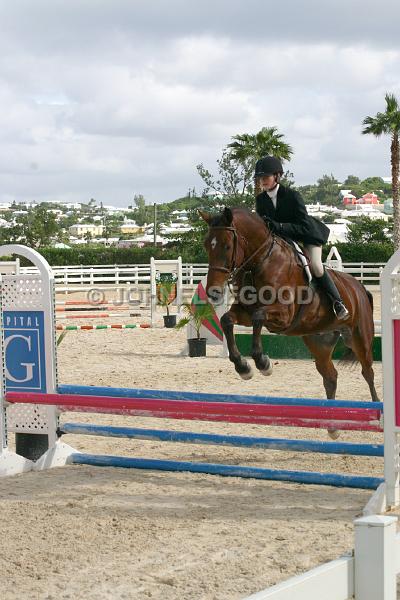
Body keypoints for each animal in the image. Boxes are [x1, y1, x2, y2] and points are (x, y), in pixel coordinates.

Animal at [200, 204, 378, 406]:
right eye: (206, 245)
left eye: (227, 246)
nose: (213, 292)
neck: (260, 261)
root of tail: (360, 288)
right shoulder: (245, 311)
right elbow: (226, 320)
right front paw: (243, 367)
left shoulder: (284, 314)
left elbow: (259, 316)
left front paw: (263, 363)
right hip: (319, 342)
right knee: (330, 377)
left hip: (359, 338)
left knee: (368, 373)